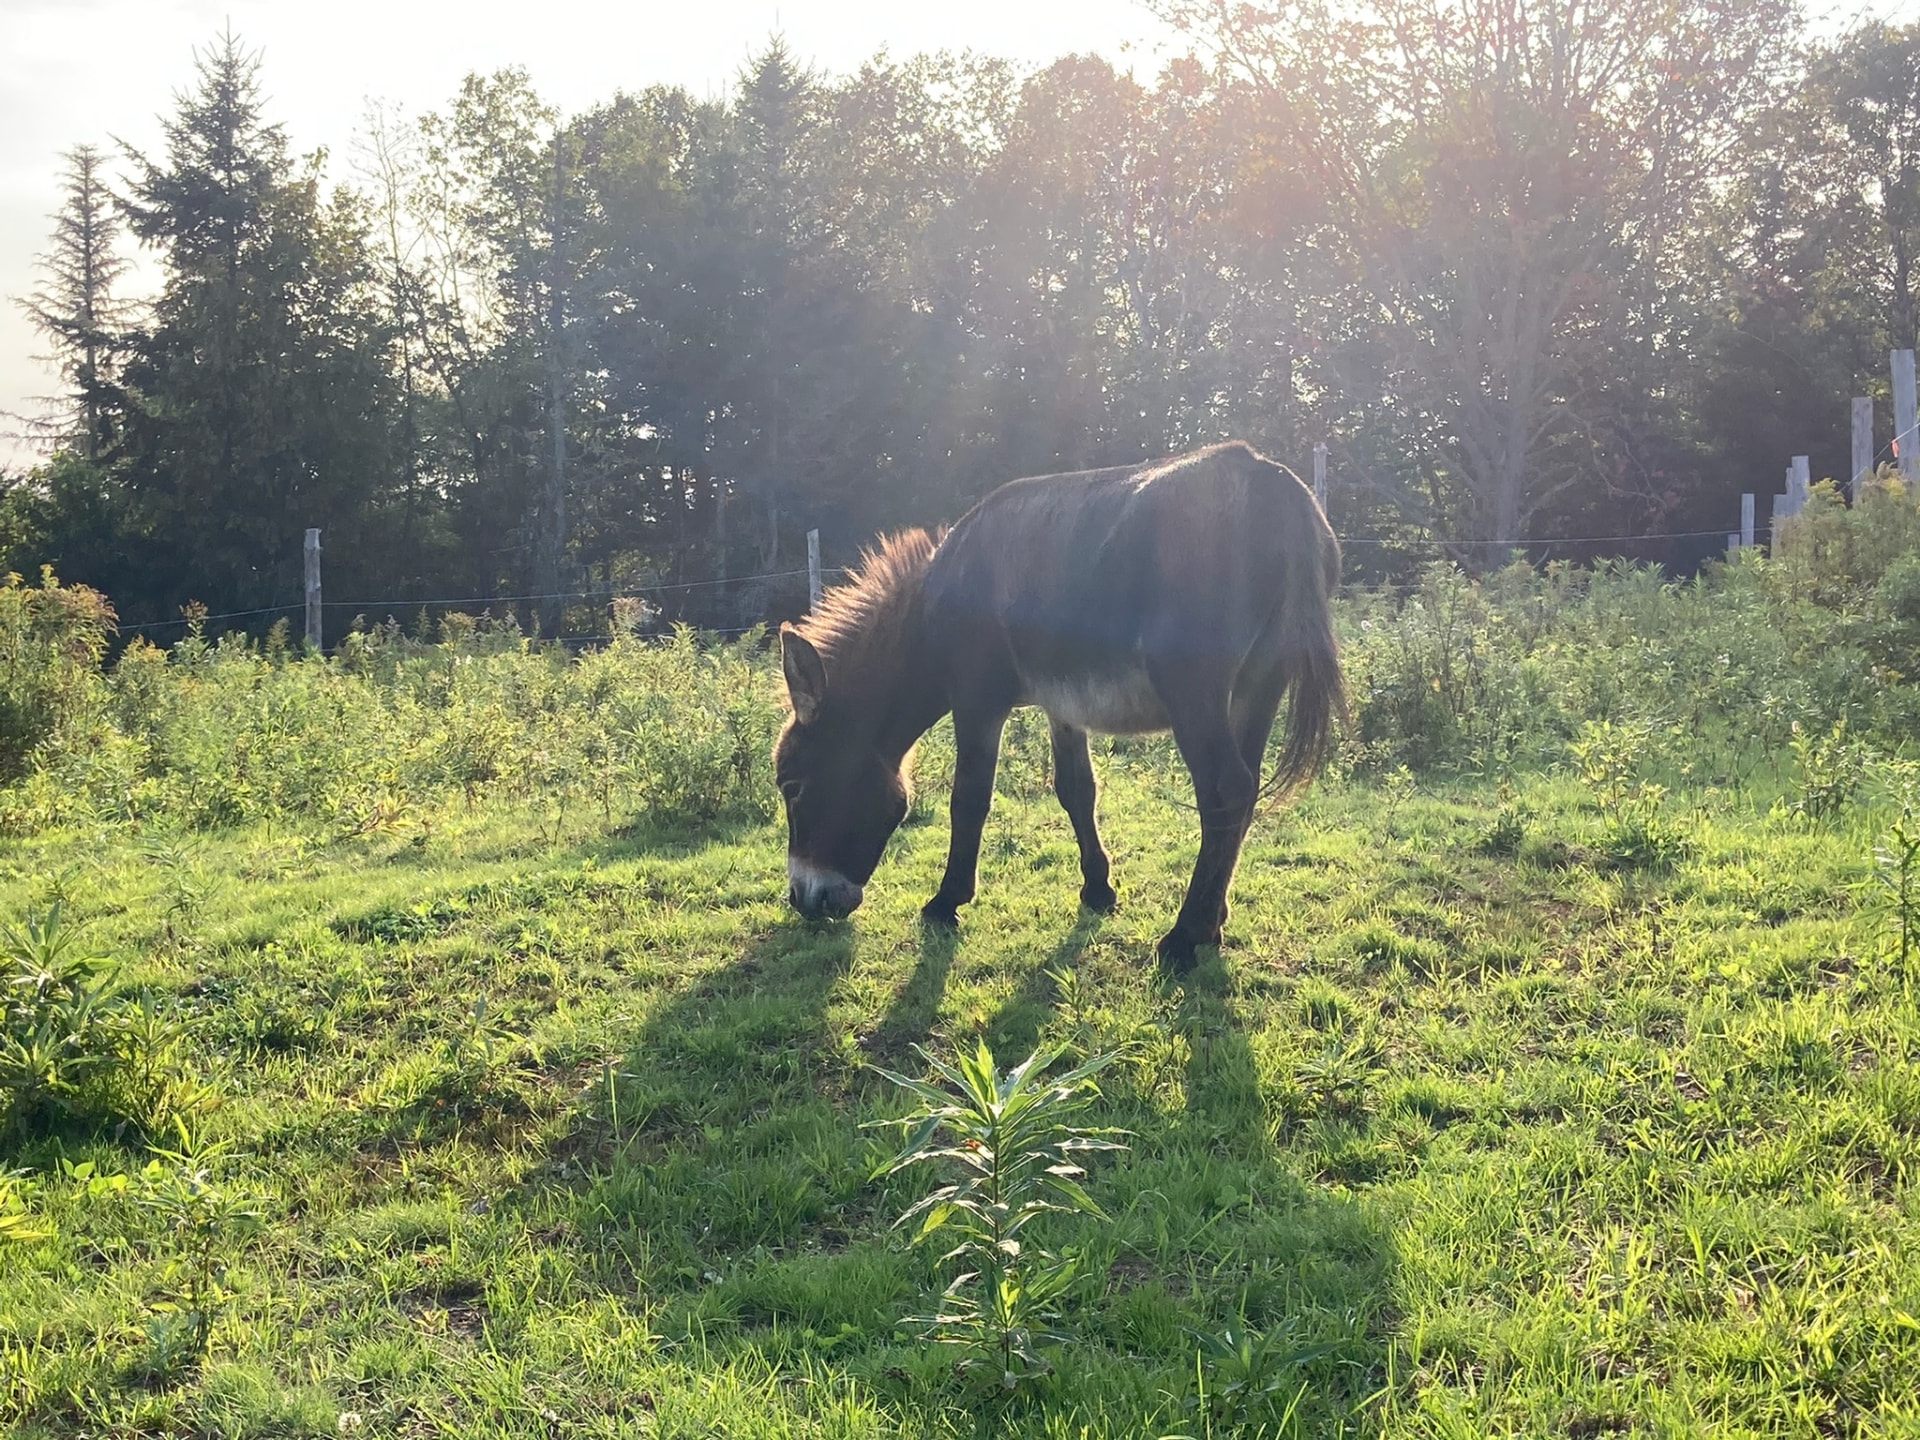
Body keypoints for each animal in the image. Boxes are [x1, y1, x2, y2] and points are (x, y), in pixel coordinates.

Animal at [772, 440, 1344, 970]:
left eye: (791, 787)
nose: (801, 901)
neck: (930, 619)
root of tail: (1270, 480)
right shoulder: (1062, 705)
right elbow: (1076, 790)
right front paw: (1098, 890)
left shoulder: (976, 698)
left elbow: (970, 797)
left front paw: (946, 901)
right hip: (1260, 682)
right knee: (1246, 788)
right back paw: (1216, 918)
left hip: (1192, 687)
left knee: (1226, 789)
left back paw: (1186, 935)